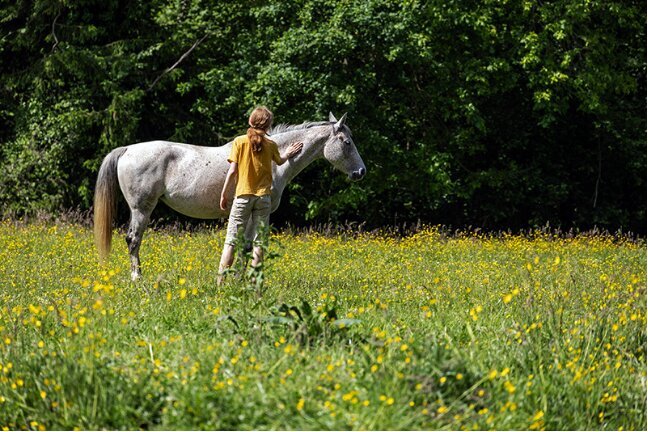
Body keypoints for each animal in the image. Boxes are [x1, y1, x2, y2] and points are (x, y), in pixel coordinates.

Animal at [93, 113, 366, 280]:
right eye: (347, 142)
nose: (361, 172)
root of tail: (127, 149)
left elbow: (244, 246)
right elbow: (247, 246)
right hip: (141, 209)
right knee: (133, 240)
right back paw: (137, 278)